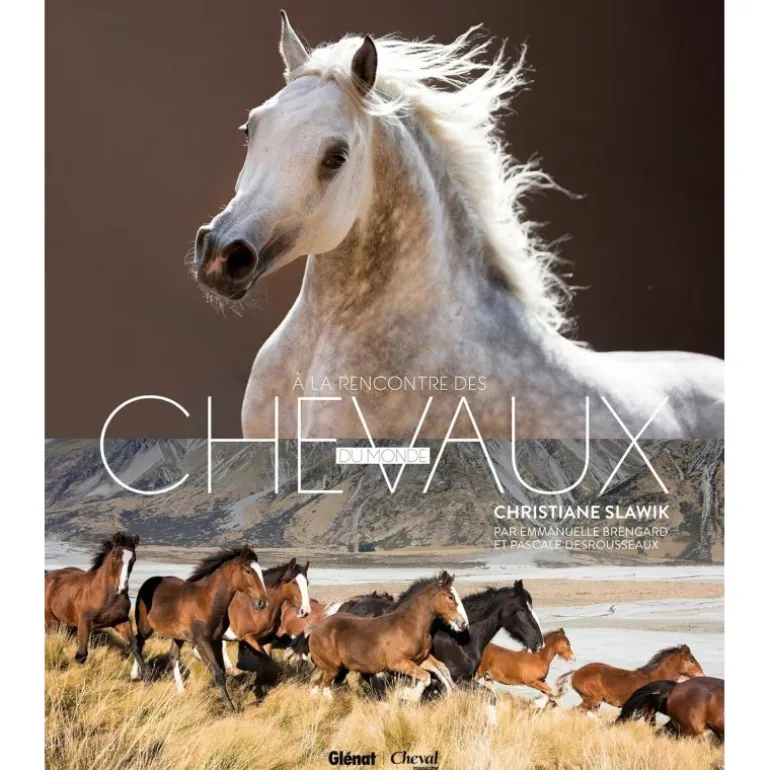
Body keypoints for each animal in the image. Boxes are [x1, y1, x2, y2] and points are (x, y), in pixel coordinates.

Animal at [44, 532, 146, 677]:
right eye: (114, 556)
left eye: (134, 558)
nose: (122, 588)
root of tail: (48, 574)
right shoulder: (85, 622)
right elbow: (81, 655)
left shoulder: (121, 621)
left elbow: (135, 646)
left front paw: (146, 677)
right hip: (51, 618)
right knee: (53, 636)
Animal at [134, 546, 268, 711]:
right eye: (248, 570)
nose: (262, 602)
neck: (207, 602)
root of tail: (148, 582)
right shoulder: (201, 641)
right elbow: (217, 673)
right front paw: (231, 708)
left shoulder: (216, 641)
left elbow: (222, 670)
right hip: (145, 627)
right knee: (137, 644)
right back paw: (145, 679)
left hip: (177, 636)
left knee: (172, 656)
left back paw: (181, 691)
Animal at [307, 572, 468, 700]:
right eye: (451, 597)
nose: (463, 623)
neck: (409, 625)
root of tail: (314, 630)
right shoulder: (398, 663)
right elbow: (426, 677)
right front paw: (407, 695)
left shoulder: (419, 659)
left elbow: (441, 669)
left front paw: (452, 694)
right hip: (331, 668)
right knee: (323, 688)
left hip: (331, 669)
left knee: (317, 686)